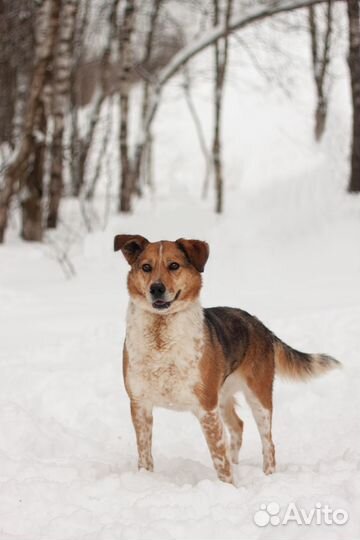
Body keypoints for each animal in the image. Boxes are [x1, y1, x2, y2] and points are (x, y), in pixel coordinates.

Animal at [115, 235, 340, 486]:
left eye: (174, 265)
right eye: (146, 267)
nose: (156, 288)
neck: (161, 337)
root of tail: (260, 324)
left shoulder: (206, 408)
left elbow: (219, 461)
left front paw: (228, 488)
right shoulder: (140, 405)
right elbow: (145, 454)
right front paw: (145, 479)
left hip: (258, 397)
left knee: (268, 443)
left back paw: (268, 476)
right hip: (222, 397)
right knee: (238, 427)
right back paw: (238, 465)